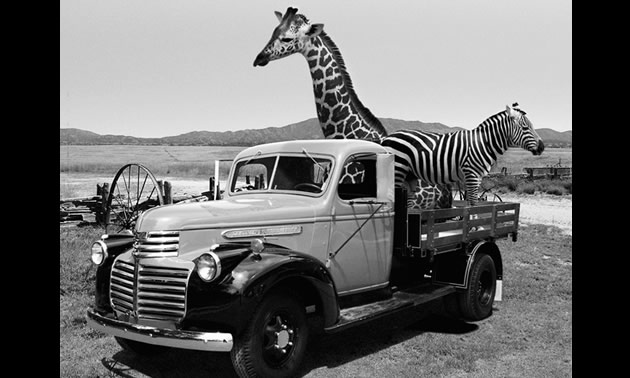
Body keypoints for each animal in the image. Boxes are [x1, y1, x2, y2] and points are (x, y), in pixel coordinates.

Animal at [382, 102, 544, 205]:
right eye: (525, 127)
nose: (542, 147)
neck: (484, 143)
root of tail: (387, 138)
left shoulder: (477, 176)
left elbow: (473, 203)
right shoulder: (471, 174)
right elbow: (472, 204)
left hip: (409, 175)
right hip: (397, 171)